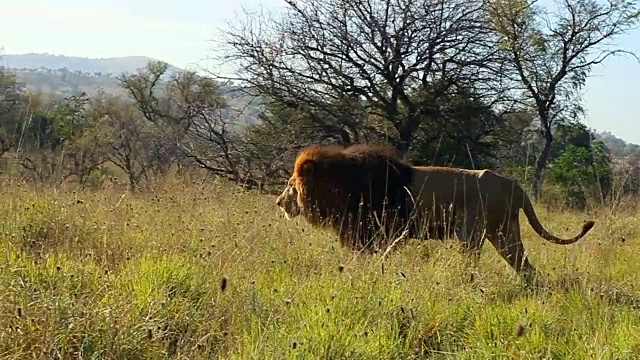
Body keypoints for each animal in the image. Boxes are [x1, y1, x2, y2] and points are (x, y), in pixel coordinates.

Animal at [276, 143, 596, 284]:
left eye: (291, 185)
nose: (279, 203)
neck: (341, 184)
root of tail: (516, 186)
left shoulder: (381, 233)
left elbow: (374, 258)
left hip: (473, 233)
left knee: (475, 264)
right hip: (502, 231)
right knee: (525, 266)